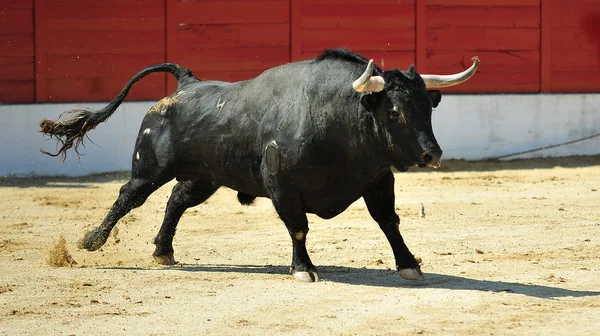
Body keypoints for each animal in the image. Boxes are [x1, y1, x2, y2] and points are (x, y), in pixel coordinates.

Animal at [38, 49, 478, 280]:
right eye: (396, 112)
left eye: (427, 108)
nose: (432, 154)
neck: (336, 119)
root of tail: (186, 84)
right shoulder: (282, 185)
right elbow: (298, 227)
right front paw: (303, 269)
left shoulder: (377, 180)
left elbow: (389, 222)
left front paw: (409, 265)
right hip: (149, 169)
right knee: (128, 196)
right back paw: (92, 241)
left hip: (205, 177)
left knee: (176, 200)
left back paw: (163, 251)